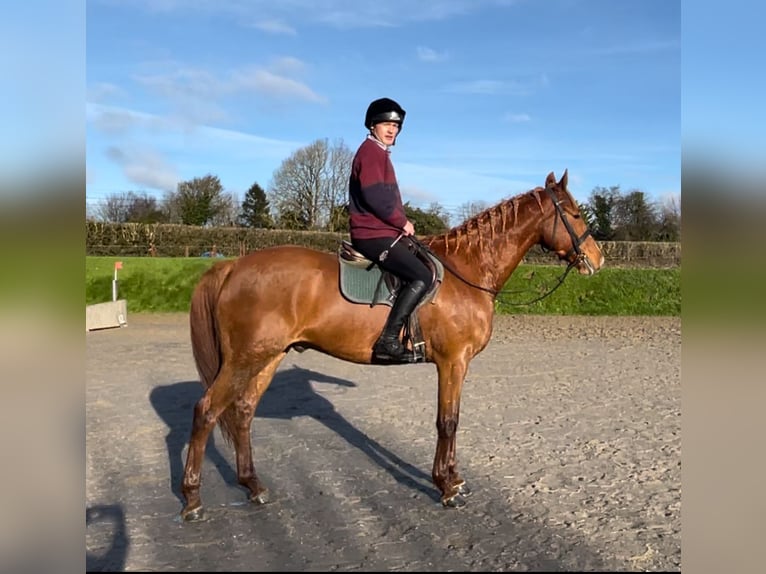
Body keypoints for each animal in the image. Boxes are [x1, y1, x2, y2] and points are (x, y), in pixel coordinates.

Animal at [181, 170, 604, 521]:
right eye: (575, 214)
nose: (597, 260)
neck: (466, 270)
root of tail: (234, 266)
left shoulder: (457, 364)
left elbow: (454, 418)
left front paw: (454, 479)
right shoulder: (453, 361)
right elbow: (447, 421)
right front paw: (446, 486)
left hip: (266, 356)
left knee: (243, 411)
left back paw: (253, 486)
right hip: (243, 358)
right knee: (206, 411)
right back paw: (192, 500)